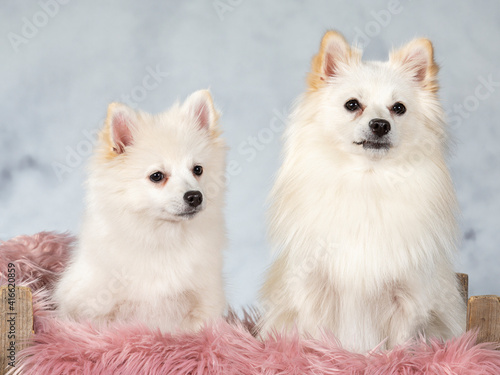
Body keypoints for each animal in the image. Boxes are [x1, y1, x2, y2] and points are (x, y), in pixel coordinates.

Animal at [55, 89, 227, 334]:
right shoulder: (94, 306)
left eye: (198, 169)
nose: (195, 196)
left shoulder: (204, 301)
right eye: (157, 176)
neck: (163, 238)